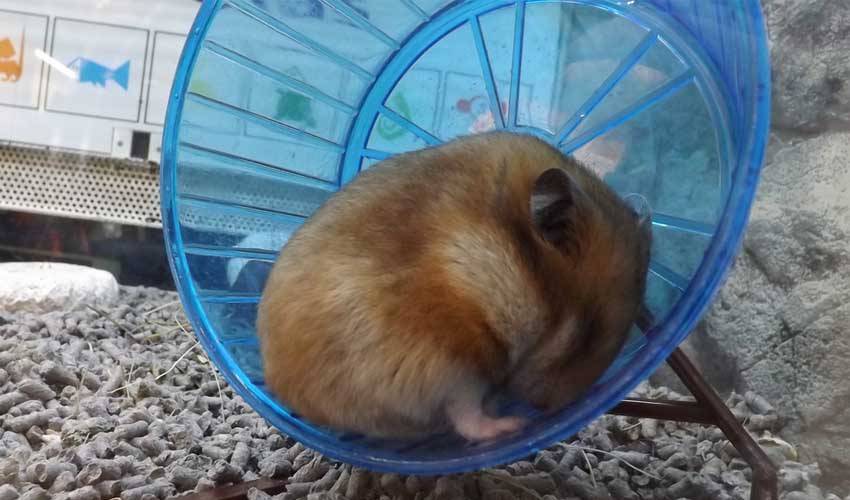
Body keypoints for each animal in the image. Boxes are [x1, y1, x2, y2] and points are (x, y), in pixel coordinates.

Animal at [257, 131, 652, 442]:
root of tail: (282, 386)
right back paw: (511, 425)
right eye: (588, 332)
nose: (547, 408)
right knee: (465, 416)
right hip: (450, 358)